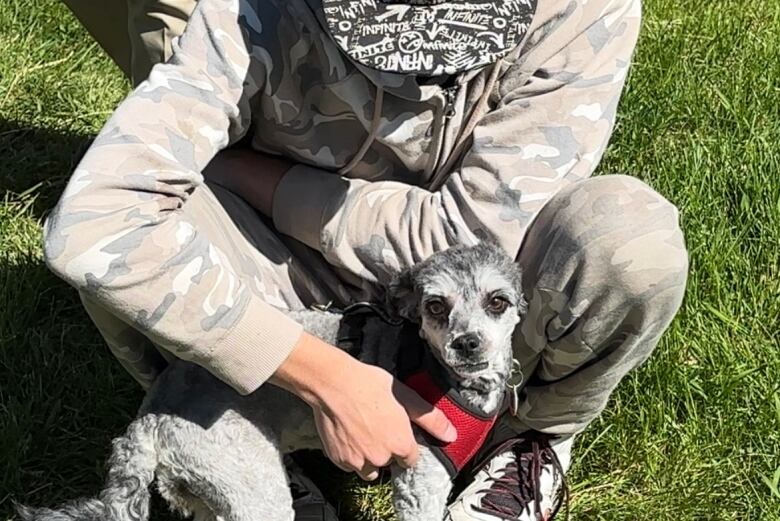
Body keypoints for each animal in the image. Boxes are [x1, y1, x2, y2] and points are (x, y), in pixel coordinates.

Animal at [21, 243, 528, 520]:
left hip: (204, 494)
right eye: (435, 306)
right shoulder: (419, 482)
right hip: (251, 486)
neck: (450, 381)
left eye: (497, 301)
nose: (467, 343)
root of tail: (147, 423)